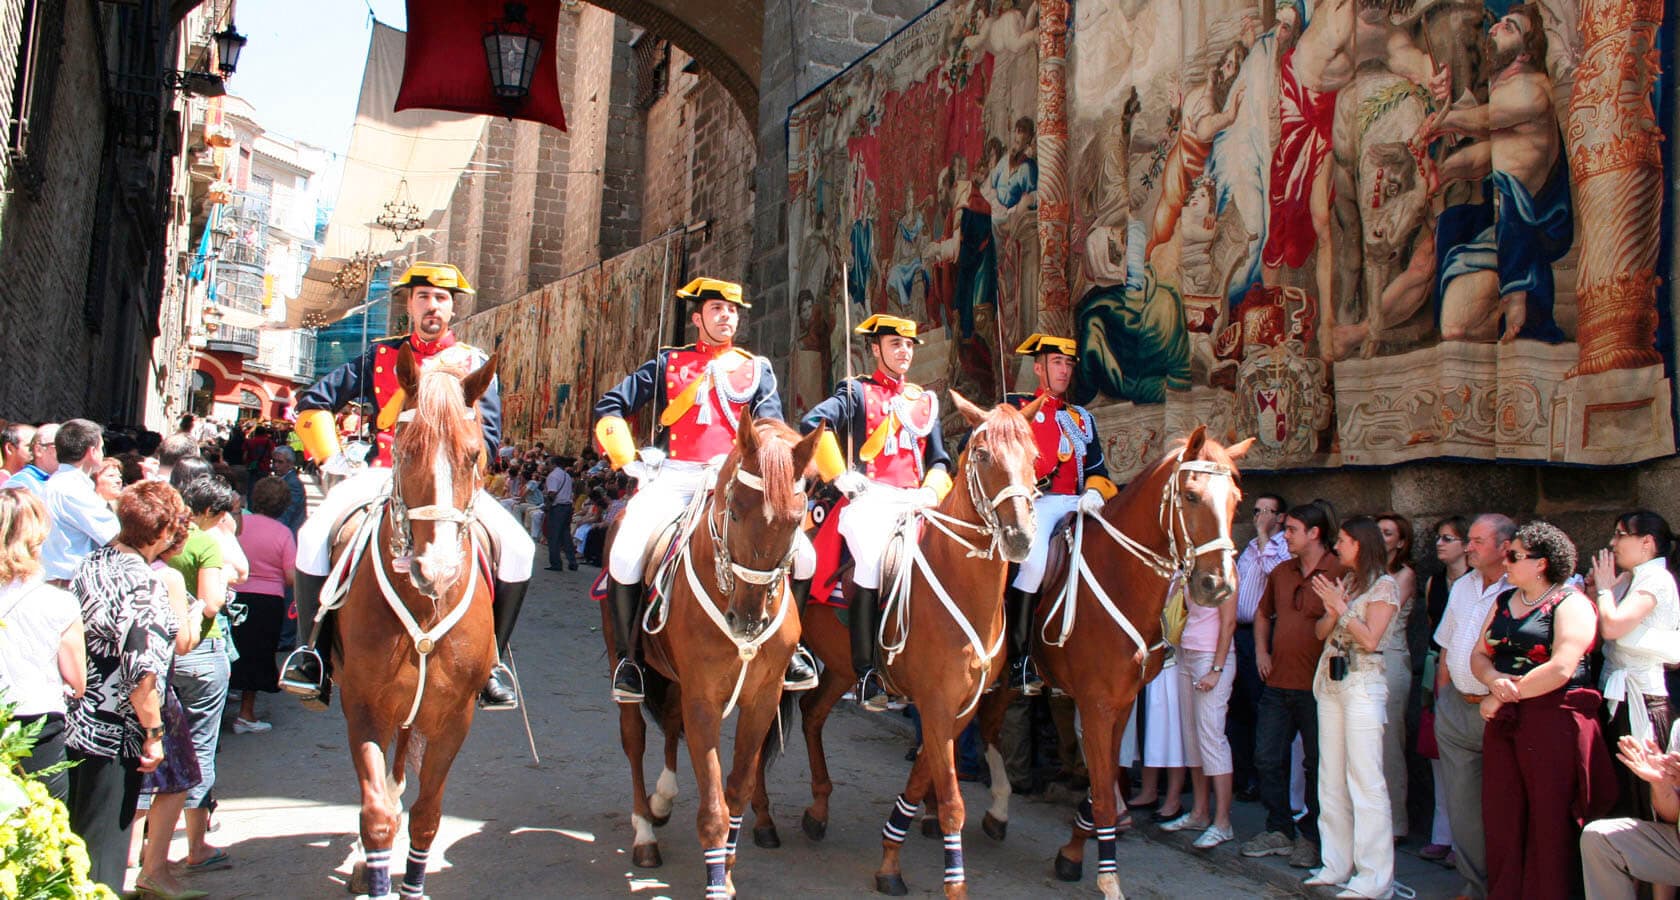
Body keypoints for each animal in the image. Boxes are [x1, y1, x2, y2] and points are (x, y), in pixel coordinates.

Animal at [325, 345, 493, 900]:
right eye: (404, 449)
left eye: (474, 455)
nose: (435, 569)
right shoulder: (364, 707)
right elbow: (376, 813)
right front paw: (372, 865)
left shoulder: (454, 718)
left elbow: (426, 817)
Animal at [601, 418, 823, 893]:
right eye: (735, 511)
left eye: (796, 521)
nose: (748, 621)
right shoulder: (703, 698)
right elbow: (713, 803)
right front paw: (717, 882)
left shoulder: (762, 699)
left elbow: (736, 789)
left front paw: (729, 867)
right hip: (625, 661)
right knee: (634, 737)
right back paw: (644, 831)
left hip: (676, 679)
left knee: (670, 723)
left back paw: (662, 801)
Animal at [782, 396, 1034, 900]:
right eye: (982, 455)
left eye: (1034, 454)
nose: (1020, 536)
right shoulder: (936, 705)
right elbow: (952, 800)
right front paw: (952, 883)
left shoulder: (958, 709)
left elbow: (922, 778)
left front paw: (891, 854)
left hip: (842, 666)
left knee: (813, 715)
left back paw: (818, 809)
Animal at [967, 423, 1256, 900]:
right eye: (1191, 495)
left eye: (1235, 497)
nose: (1217, 585)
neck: (1123, 576)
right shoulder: (1098, 705)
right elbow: (1102, 791)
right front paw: (1108, 878)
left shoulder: (1121, 704)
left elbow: (1102, 784)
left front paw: (1073, 851)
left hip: (1006, 681)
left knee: (987, 729)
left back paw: (998, 811)